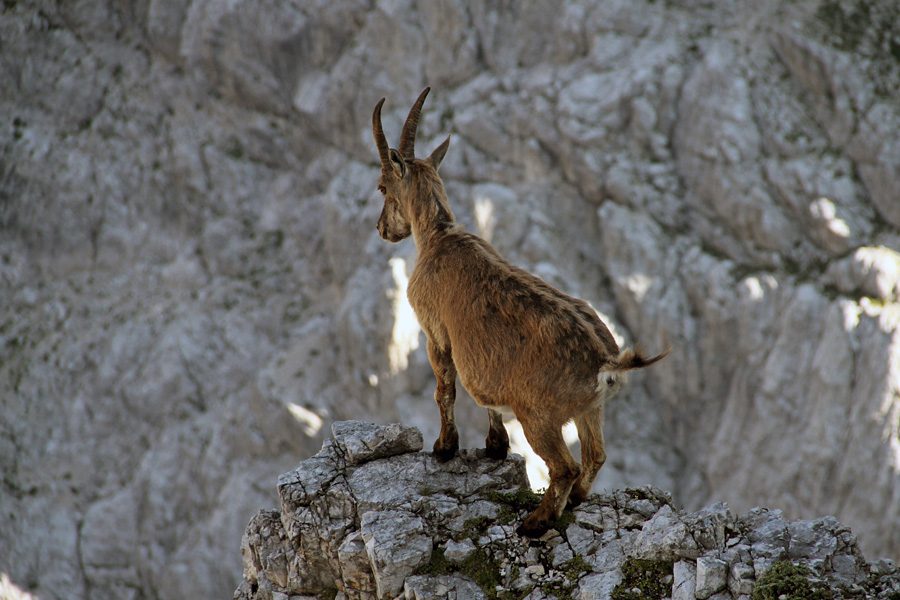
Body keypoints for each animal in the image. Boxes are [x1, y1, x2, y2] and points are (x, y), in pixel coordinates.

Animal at [372, 88, 669, 537]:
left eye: (382, 186)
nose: (382, 229)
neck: (439, 236)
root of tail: (605, 361)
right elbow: (489, 401)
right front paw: (495, 447)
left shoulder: (435, 333)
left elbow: (446, 389)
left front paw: (444, 448)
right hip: (590, 409)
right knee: (595, 455)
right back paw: (576, 500)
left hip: (539, 416)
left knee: (564, 466)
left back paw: (536, 522)